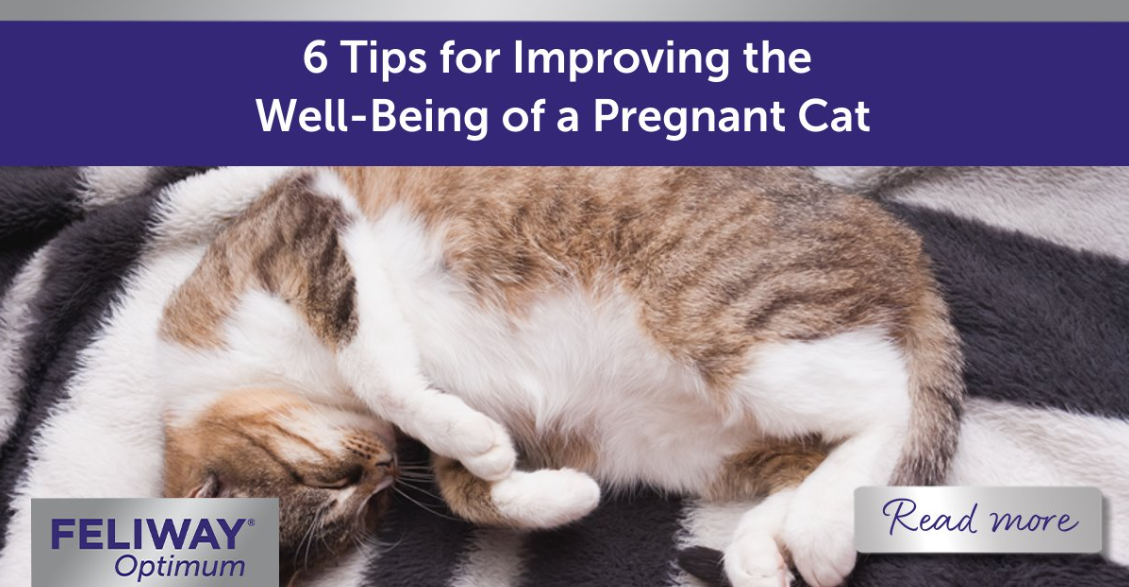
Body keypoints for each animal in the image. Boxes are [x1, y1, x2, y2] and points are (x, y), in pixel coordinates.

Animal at [156, 164, 961, 587]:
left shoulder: (314, 223)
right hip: (696, 444)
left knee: (887, 400)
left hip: (732, 331)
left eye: (334, 481)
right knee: (813, 458)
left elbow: (379, 368)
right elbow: (469, 487)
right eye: (366, 511)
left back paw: (817, 534)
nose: (381, 466)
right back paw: (764, 550)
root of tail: (904, 242)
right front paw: (551, 491)